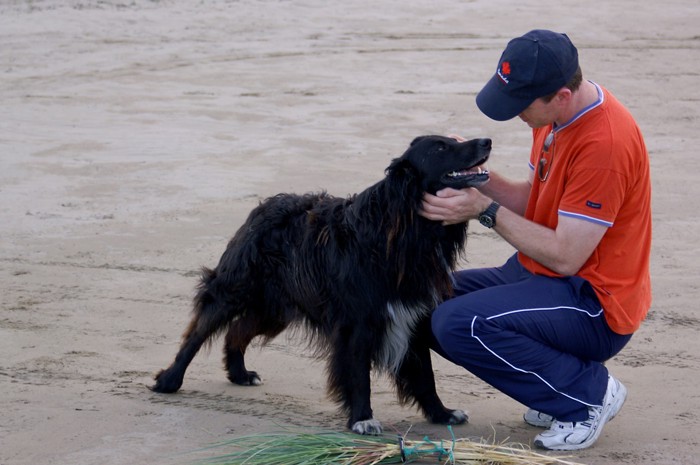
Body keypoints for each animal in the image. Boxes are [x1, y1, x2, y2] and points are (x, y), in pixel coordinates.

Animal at [153, 136, 492, 434]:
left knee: (237, 331)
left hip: (274, 308)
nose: (486, 140)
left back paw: (239, 374)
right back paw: (169, 380)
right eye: (440, 148)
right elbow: (359, 375)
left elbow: (425, 375)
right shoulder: (358, 323)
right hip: (236, 287)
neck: (404, 228)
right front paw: (362, 419)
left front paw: (442, 413)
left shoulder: (415, 316)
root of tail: (264, 206)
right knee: (199, 332)